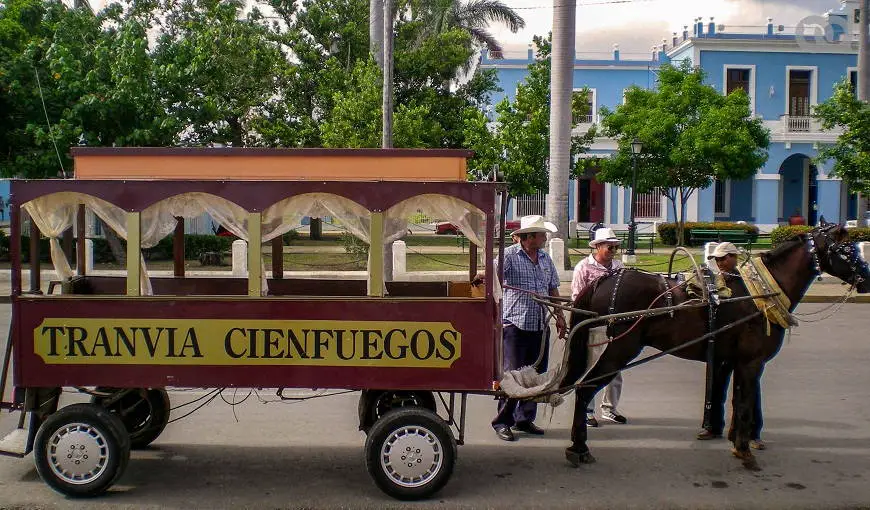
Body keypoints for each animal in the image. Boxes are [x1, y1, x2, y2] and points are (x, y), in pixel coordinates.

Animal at [564, 219, 868, 470]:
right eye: (846, 250)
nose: (867, 278)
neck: (761, 292)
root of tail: (604, 280)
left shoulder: (732, 359)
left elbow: (735, 398)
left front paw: (734, 438)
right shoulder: (751, 362)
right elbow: (745, 403)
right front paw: (744, 451)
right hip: (620, 348)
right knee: (585, 387)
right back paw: (579, 446)